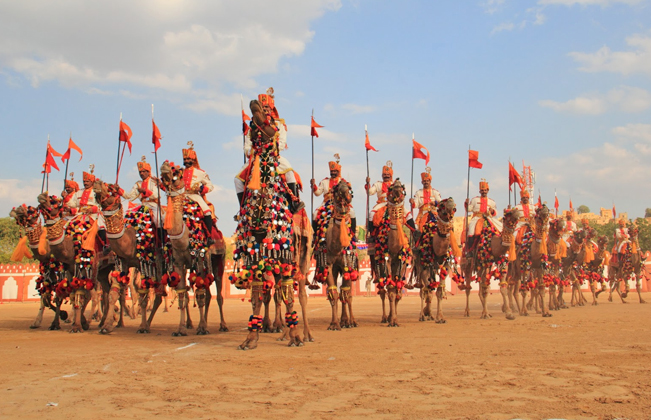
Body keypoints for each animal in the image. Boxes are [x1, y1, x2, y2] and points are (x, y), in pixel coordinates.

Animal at [160, 161, 228, 336]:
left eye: (177, 172)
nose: (164, 165)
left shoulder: (200, 259)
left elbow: (200, 295)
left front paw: (202, 328)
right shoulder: (179, 263)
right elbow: (182, 294)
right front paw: (180, 329)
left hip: (219, 260)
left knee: (218, 293)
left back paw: (222, 325)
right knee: (207, 293)